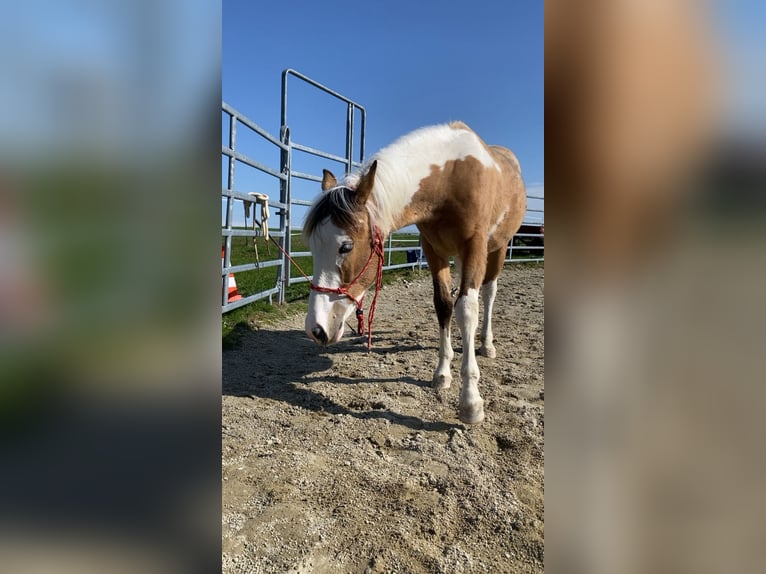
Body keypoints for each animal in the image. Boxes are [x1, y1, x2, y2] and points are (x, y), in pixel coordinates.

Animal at [302, 121, 526, 424]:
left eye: (345, 246)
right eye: (312, 246)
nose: (316, 329)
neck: (450, 178)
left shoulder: (475, 247)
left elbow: (467, 310)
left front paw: (470, 401)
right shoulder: (434, 250)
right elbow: (444, 305)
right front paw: (442, 373)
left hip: (499, 247)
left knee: (489, 293)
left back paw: (486, 344)